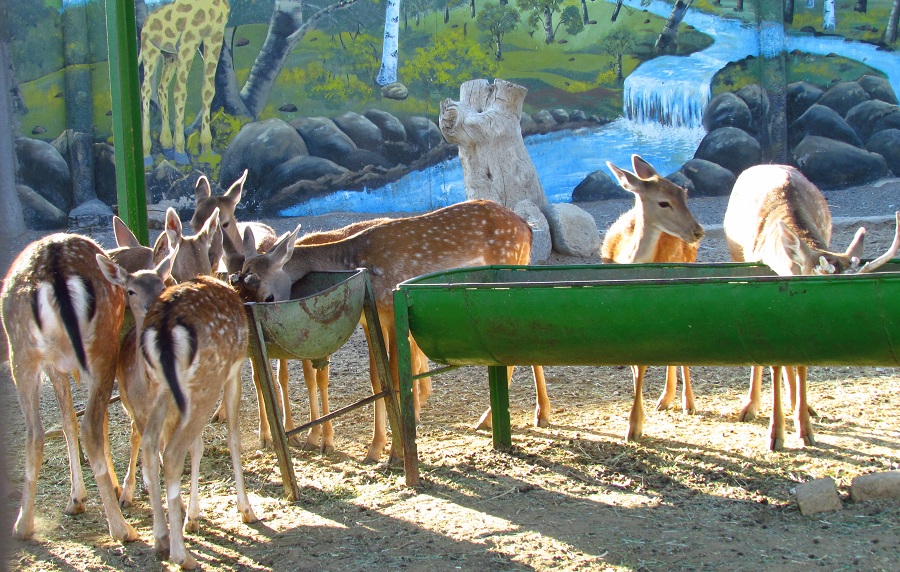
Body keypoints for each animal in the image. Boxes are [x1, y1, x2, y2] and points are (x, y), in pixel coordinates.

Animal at [1, 233, 138, 542]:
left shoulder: (55, 365)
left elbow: (68, 421)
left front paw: (77, 498)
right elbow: (85, 421)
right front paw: (93, 493)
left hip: (22, 352)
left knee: (35, 432)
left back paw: (23, 525)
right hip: (101, 345)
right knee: (89, 426)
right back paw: (121, 528)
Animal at [139, 274, 257, 569]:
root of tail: (165, 326)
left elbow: (199, 447)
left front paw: (193, 517)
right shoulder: (233, 372)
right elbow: (233, 439)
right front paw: (246, 510)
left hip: (158, 385)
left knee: (150, 444)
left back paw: (161, 541)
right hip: (208, 379)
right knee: (171, 453)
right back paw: (183, 556)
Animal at [234, 199, 547, 463]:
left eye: (268, 295)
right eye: (237, 289)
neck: (353, 259)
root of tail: (527, 229)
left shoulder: (392, 309)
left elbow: (396, 377)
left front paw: (396, 453)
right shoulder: (373, 316)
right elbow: (377, 379)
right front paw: (374, 450)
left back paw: (490, 419)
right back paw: (537, 415)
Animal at [600, 154, 705, 443]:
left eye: (684, 192)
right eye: (663, 202)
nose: (698, 231)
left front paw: (634, 425)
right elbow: (636, 363)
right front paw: (636, 421)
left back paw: (687, 402)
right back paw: (665, 399)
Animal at [723, 164, 900, 450]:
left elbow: (801, 362)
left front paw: (804, 427)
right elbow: (775, 360)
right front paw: (776, 434)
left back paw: (801, 405)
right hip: (737, 256)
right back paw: (750, 406)